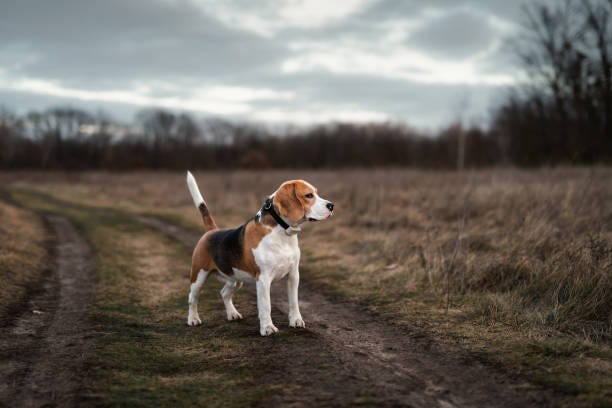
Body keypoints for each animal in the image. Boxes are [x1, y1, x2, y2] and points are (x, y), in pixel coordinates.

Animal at [184, 171, 334, 336]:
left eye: (316, 193)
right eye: (308, 195)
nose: (331, 205)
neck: (282, 233)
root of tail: (212, 231)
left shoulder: (294, 275)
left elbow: (294, 302)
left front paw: (295, 321)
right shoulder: (263, 279)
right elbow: (265, 305)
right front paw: (267, 327)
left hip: (235, 278)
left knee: (224, 293)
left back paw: (232, 314)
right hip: (199, 276)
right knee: (192, 297)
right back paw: (193, 319)